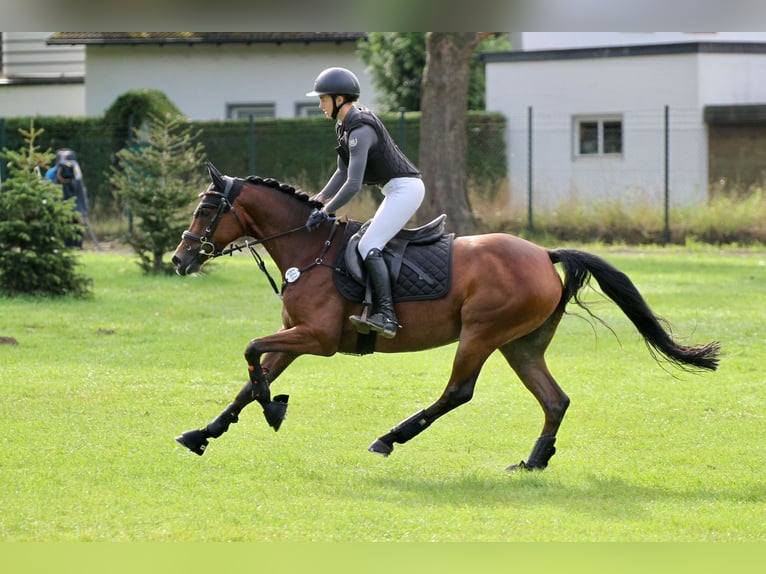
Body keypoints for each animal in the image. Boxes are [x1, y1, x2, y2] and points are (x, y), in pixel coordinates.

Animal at [171, 163, 724, 472]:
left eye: (206, 210)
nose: (180, 259)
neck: (308, 250)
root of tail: (544, 254)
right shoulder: (293, 334)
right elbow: (250, 379)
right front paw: (204, 433)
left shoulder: (318, 338)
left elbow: (251, 354)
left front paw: (274, 408)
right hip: (520, 344)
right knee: (555, 399)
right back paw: (533, 462)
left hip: (481, 333)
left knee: (458, 392)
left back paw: (389, 439)